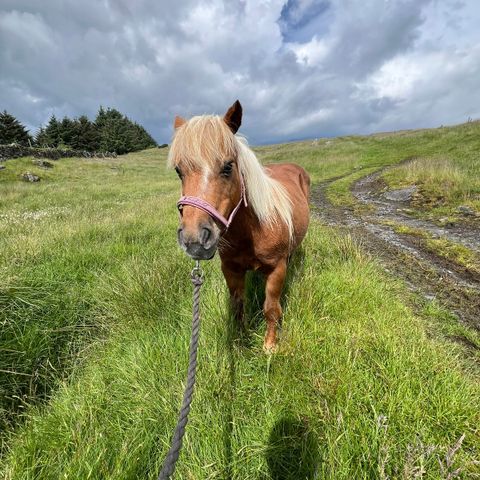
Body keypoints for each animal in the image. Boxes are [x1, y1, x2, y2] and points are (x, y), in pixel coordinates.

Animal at [169, 100, 312, 352]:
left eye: (228, 167)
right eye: (179, 171)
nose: (195, 241)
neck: (252, 231)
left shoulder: (277, 269)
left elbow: (271, 308)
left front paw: (269, 346)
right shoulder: (231, 269)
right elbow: (238, 307)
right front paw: (240, 340)